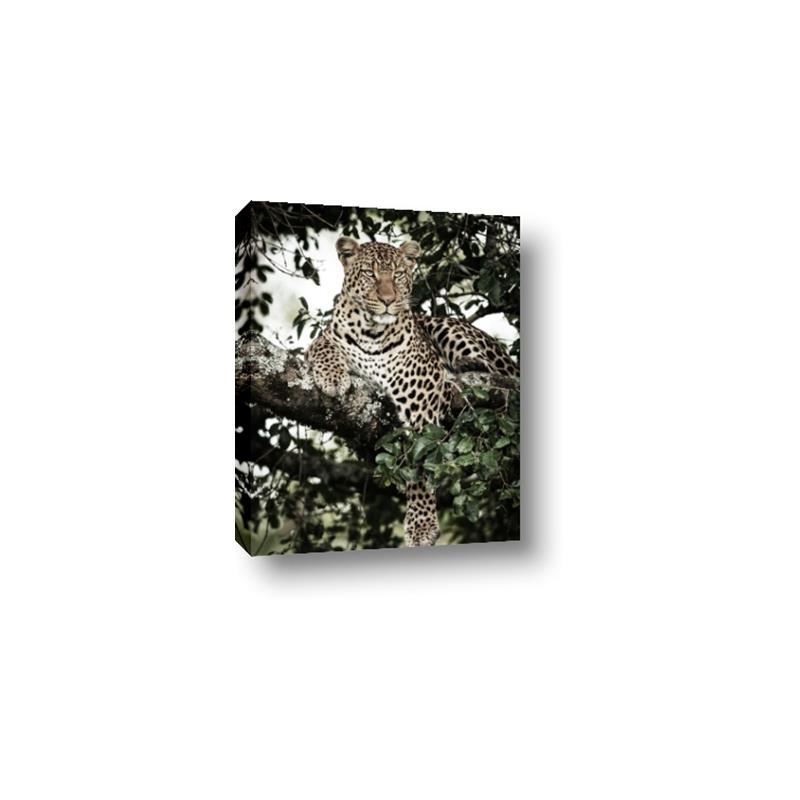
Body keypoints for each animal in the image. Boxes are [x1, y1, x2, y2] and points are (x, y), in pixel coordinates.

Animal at [306, 236, 519, 547]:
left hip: (448, 329)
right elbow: (324, 345)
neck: (372, 332)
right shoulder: (325, 339)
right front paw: (333, 377)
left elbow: (421, 463)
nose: (387, 300)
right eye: (369, 274)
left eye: (397, 275)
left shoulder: (422, 397)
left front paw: (421, 525)